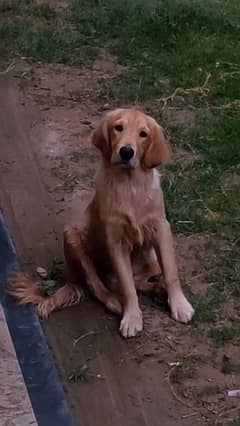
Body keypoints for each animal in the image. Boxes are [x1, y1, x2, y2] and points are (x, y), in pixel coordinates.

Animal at [8, 109, 194, 336]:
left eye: (143, 134)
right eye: (118, 128)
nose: (126, 152)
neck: (130, 186)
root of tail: (71, 277)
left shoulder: (161, 229)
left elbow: (171, 272)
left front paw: (179, 305)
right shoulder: (115, 240)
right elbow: (127, 285)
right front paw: (132, 318)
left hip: (150, 259)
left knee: (139, 278)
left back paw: (158, 290)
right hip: (73, 236)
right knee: (99, 283)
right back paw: (116, 302)